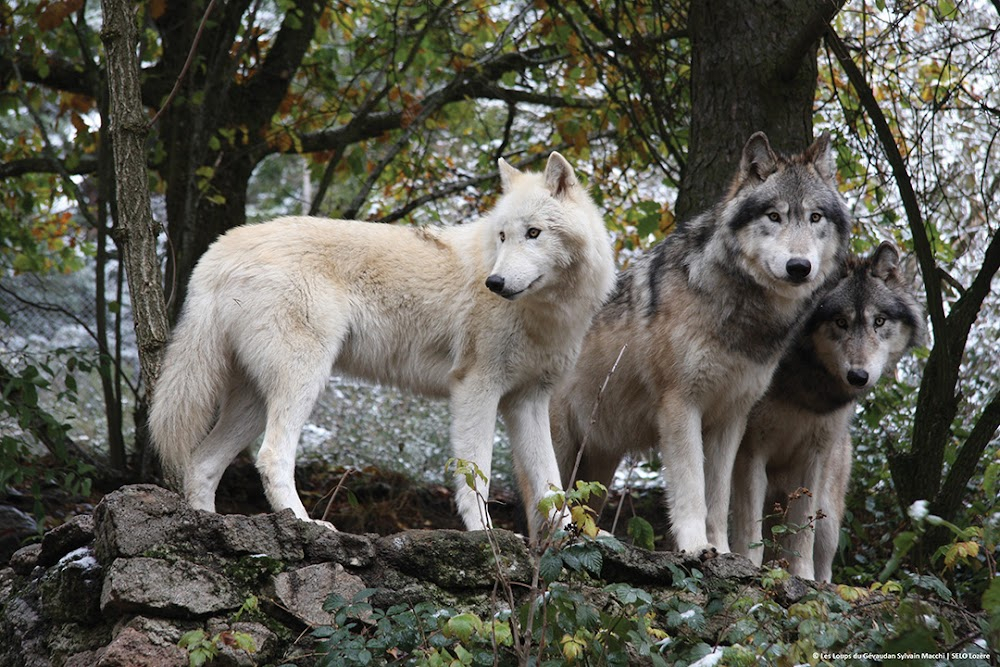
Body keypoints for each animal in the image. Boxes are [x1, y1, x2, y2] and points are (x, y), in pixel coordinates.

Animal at [148, 154, 616, 540]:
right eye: (503, 236)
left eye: (533, 233)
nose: (495, 283)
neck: (547, 312)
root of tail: (218, 249)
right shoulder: (476, 388)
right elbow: (476, 476)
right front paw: (486, 535)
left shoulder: (528, 400)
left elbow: (551, 483)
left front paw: (574, 537)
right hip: (302, 381)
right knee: (271, 456)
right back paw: (304, 523)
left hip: (253, 402)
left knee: (202, 464)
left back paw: (209, 525)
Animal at [552, 133, 848, 556]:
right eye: (773, 216)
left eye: (815, 217)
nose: (799, 267)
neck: (741, 313)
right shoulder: (680, 405)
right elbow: (691, 487)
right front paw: (694, 547)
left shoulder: (731, 420)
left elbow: (718, 497)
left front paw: (722, 551)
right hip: (561, 441)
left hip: (599, 460)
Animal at [728, 243, 928, 580]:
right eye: (840, 322)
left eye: (879, 322)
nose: (858, 376)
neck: (804, 380)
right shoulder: (750, 452)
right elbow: (750, 529)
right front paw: (749, 568)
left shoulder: (813, 459)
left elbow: (801, 534)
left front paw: (803, 578)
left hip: (829, 521)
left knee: (822, 558)